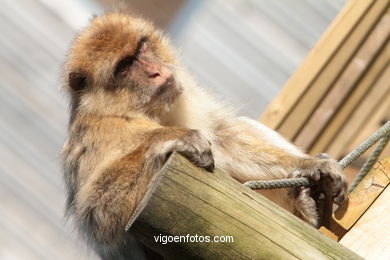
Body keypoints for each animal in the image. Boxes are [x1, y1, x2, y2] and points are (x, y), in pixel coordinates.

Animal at [61, 11, 348, 258]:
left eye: (141, 47)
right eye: (124, 66)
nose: (155, 71)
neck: (144, 110)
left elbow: (226, 142)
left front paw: (310, 165)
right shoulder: (101, 132)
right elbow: (99, 218)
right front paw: (169, 138)